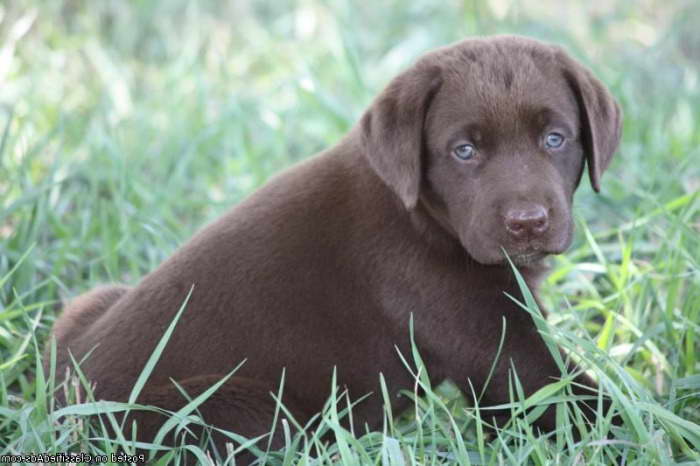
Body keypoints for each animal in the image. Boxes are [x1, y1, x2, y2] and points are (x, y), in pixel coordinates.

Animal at [49, 35, 624, 456]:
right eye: (464, 151)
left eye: (555, 139)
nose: (527, 223)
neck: (422, 217)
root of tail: (63, 409)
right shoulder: (499, 342)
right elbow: (583, 404)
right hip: (237, 412)